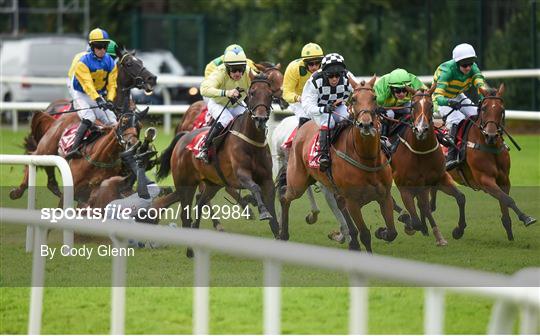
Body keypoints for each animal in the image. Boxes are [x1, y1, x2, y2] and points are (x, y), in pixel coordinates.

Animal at [152, 71, 278, 255]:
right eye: (252, 92)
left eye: (270, 94)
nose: (260, 119)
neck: (251, 141)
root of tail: (183, 137)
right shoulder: (240, 175)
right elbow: (254, 188)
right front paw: (261, 211)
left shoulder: (267, 179)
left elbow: (272, 208)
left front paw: (279, 234)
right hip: (186, 184)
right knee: (185, 213)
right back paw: (189, 249)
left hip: (213, 183)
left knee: (199, 203)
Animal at [278, 77, 396, 253]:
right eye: (354, 99)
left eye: (374, 97)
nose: (366, 124)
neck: (366, 158)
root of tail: (303, 125)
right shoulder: (353, 202)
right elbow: (365, 234)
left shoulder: (385, 196)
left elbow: (392, 232)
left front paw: (381, 231)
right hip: (297, 182)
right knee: (285, 197)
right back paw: (283, 234)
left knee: (339, 204)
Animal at [388, 85, 468, 245]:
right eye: (413, 105)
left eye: (431, 105)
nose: (421, 130)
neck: (421, 152)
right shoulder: (405, 186)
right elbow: (416, 220)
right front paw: (410, 224)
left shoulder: (439, 178)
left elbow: (461, 198)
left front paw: (458, 230)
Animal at [430, 84, 536, 240]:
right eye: (484, 108)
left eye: (501, 109)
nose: (491, 136)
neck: (489, 147)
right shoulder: (485, 180)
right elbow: (508, 200)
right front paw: (526, 218)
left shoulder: (504, 179)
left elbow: (505, 203)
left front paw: (510, 234)